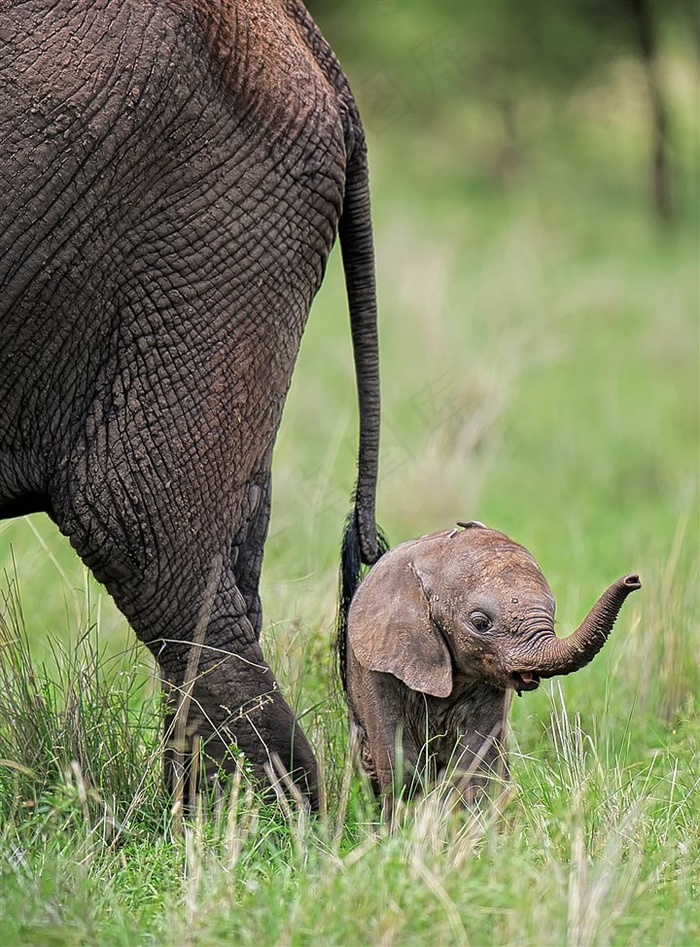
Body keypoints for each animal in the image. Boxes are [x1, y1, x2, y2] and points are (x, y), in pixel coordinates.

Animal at [340, 524, 640, 812]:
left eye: (552, 614)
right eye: (481, 623)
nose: (634, 579)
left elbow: (478, 762)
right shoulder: (380, 667)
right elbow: (402, 765)